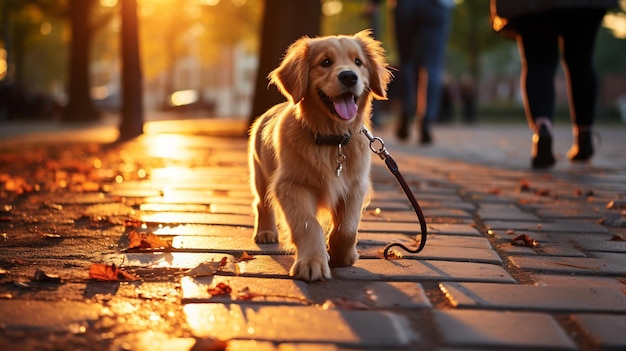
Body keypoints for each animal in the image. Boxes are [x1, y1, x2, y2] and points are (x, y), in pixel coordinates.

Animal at [246, 30, 388, 284]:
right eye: (325, 62)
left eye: (358, 62)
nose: (349, 77)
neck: (332, 140)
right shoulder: (291, 185)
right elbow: (308, 224)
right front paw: (312, 262)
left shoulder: (355, 186)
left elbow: (347, 228)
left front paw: (343, 255)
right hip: (260, 173)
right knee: (262, 203)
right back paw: (265, 232)